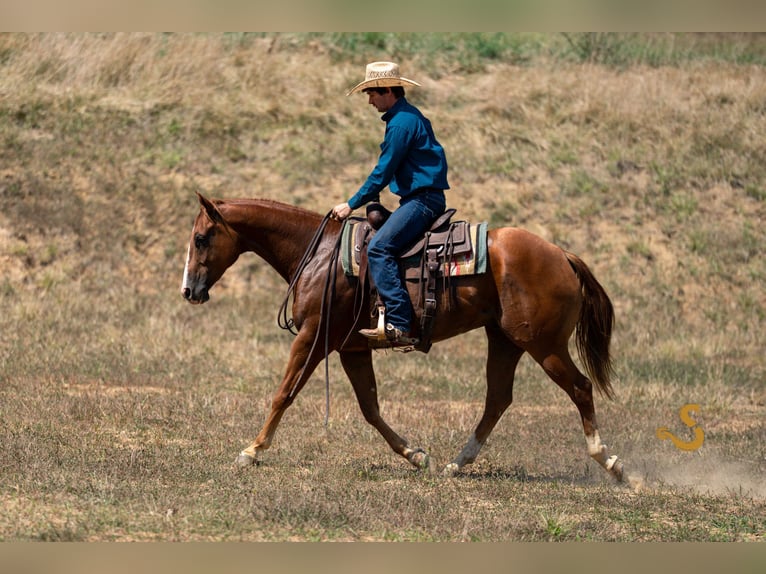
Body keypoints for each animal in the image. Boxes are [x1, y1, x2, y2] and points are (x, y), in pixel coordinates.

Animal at [182, 193, 625, 481]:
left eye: (201, 239)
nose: (189, 290)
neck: (321, 254)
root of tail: (561, 254)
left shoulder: (312, 338)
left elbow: (284, 393)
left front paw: (251, 451)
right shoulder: (352, 349)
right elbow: (371, 408)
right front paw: (416, 455)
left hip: (544, 345)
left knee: (580, 387)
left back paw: (611, 462)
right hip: (505, 340)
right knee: (498, 399)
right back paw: (456, 463)